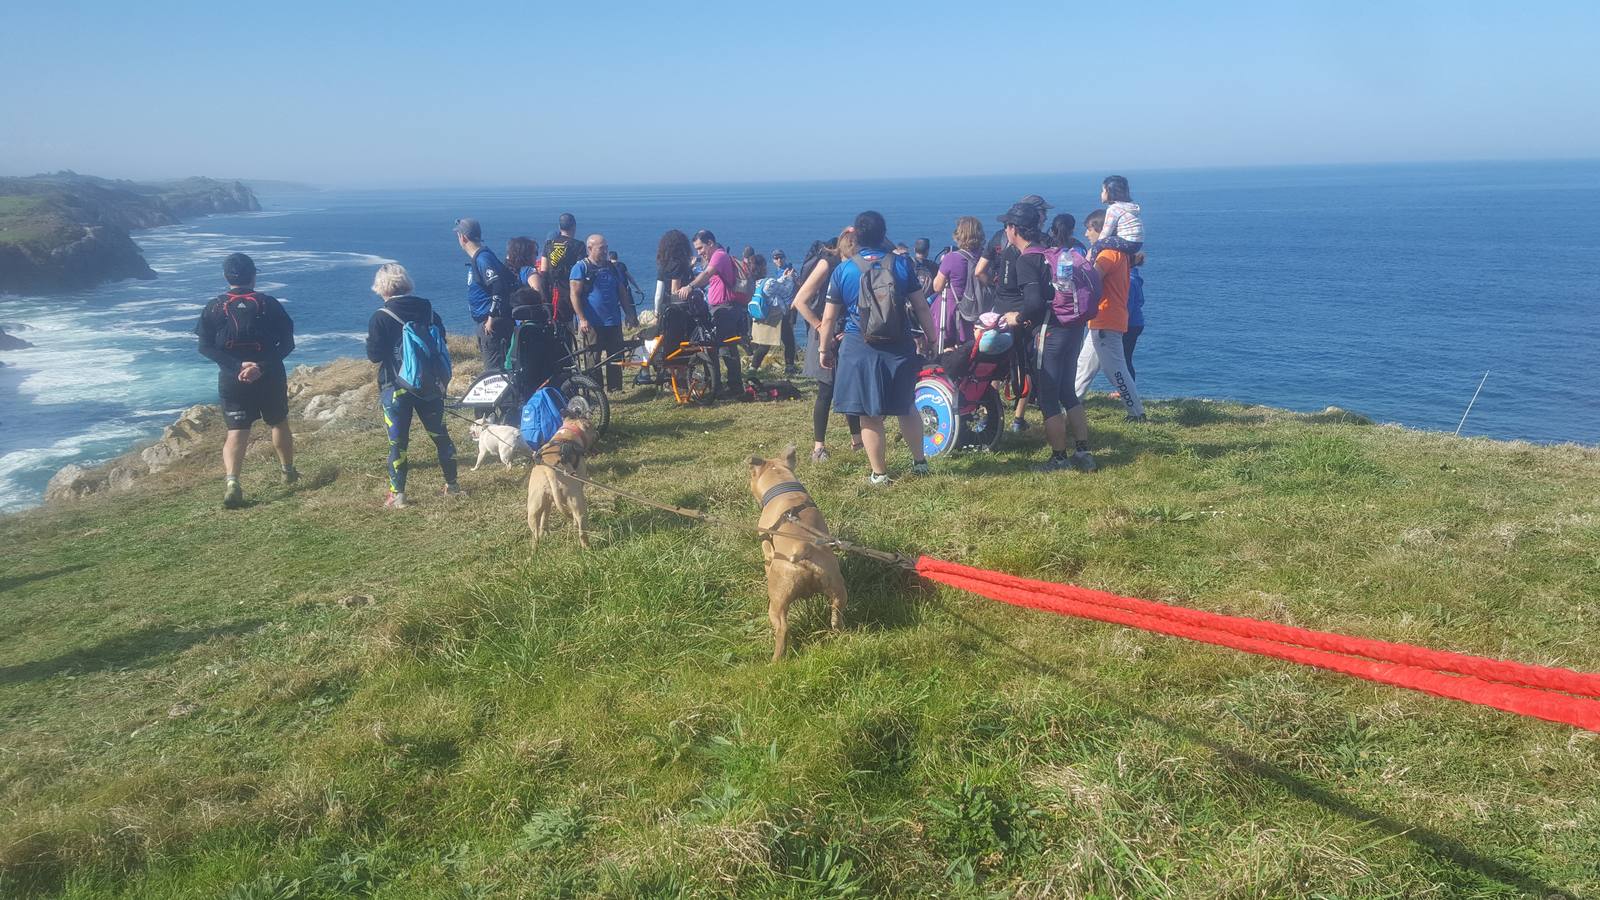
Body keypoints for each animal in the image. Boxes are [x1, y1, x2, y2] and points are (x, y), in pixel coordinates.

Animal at [528, 416, 598, 547]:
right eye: (592, 427)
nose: (598, 432)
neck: (565, 435)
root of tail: (549, 470)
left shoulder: (548, 503)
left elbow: (545, 517)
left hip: (534, 507)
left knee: (536, 533)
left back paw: (536, 548)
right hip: (577, 502)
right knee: (580, 528)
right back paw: (587, 546)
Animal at [748, 441, 851, 659]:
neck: (781, 484)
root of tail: (804, 548)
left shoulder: (767, 550)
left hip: (777, 603)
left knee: (782, 628)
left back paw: (776, 660)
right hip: (837, 589)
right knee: (836, 614)